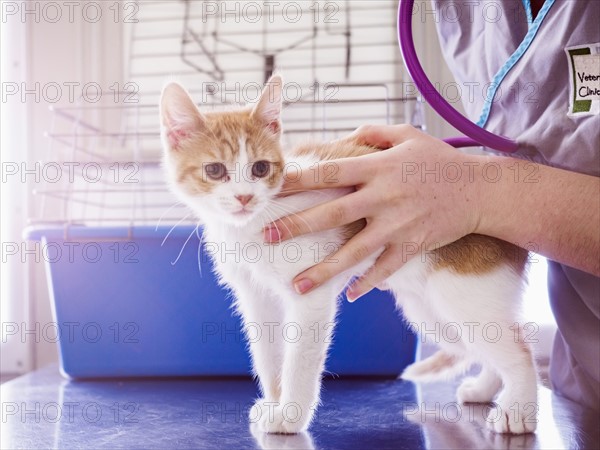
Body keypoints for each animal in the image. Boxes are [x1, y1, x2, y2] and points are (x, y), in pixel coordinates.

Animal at [159, 75, 540, 434]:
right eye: (214, 170)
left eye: (260, 168)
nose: (244, 198)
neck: (255, 223)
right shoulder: (254, 295)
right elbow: (267, 353)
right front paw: (274, 400)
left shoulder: (310, 292)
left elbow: (299, 358)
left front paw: (290, 416)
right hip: (431, 314)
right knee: (485, 347)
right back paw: (485, 388)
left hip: (463, 295)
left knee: (520, 351)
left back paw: (518, 410)